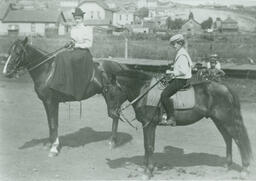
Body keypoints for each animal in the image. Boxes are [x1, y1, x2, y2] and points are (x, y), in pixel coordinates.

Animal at [101, 60, 252, 178]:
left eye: (110, 91)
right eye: (104, 91)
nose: (112, 114)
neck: (144, 92)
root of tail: (225, 87)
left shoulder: (149, 125)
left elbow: (149, 146)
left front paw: (147, 172)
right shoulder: (149, 125)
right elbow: (147, 146)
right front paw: (146, 168)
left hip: (227, 120)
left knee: (238, 140)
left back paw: (244, 170)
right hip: (219, 121)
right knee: (228, 139)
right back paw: (227, 165)